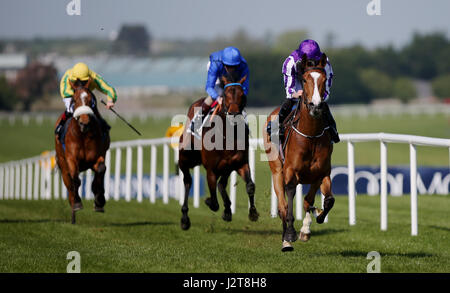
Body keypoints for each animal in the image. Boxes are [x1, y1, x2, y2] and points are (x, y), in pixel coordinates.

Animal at [54, 78, 110, 224]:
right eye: (74, 100)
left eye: (91, 99)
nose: (84, 122)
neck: (83, 135)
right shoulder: (71, 159)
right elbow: (75, 180)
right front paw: (78, 203)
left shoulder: (97, 157)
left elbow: (101, 170)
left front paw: (99, 201)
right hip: (62, 164)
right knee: (69, 185)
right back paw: (73, 209)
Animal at [177, 74, 258, 229]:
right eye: (225, 95)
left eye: (242, 94)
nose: (233, 114)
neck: (227, 134)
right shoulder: (211, 170)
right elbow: (214, 202)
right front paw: (209, 201)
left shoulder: (238, 163)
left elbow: (250, 186)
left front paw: (252, 213)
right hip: (185, 159)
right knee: (187, 181)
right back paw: (184, 218)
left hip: (225, 166)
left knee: (221, 184)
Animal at [264, 53, 334, 251]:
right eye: (304, 79)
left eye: (324, 79)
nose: (316, 106)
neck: (311, 136)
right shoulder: (290, 172)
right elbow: (289, 201)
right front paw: (290, 234)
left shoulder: (322, 173)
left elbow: (323, 201)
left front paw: (311, 224)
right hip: (276, 170)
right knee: (282, 205)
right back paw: (285, 239)